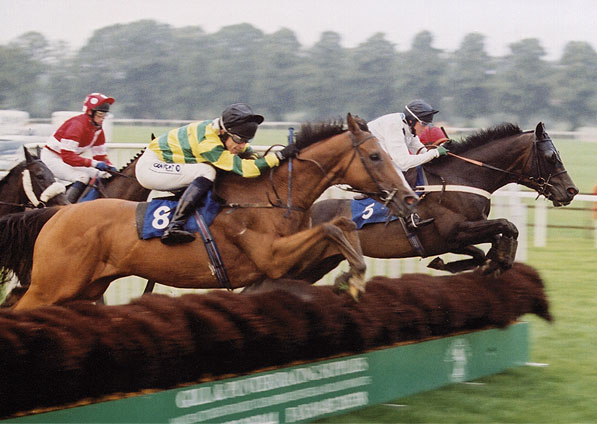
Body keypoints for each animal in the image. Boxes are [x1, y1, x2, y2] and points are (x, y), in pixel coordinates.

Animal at [0, 114, 420, 310]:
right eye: (375, 156)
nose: (409, 198)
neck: (270, 197)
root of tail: (57, 214)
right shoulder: (272, 257)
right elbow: (333, 228)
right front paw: (354, 279)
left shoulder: (290, 260)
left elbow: (343, 224)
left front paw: (352, 276)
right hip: (54, 285)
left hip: (82, 288)